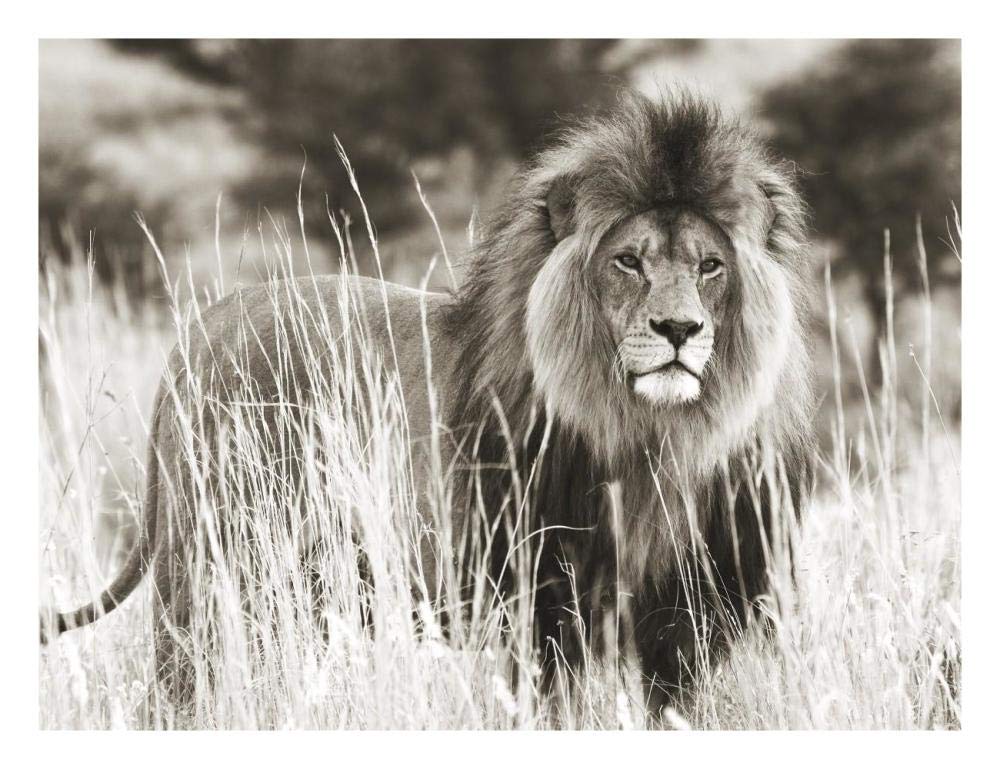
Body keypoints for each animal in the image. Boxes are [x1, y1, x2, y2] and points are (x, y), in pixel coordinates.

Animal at [42, 91, 815, 717]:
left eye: (710, 267)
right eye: (628, 261)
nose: (680, 329)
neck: (652, 438)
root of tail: (198, 332)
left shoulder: (683, 622)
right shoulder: (540, 609)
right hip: (208, 571)